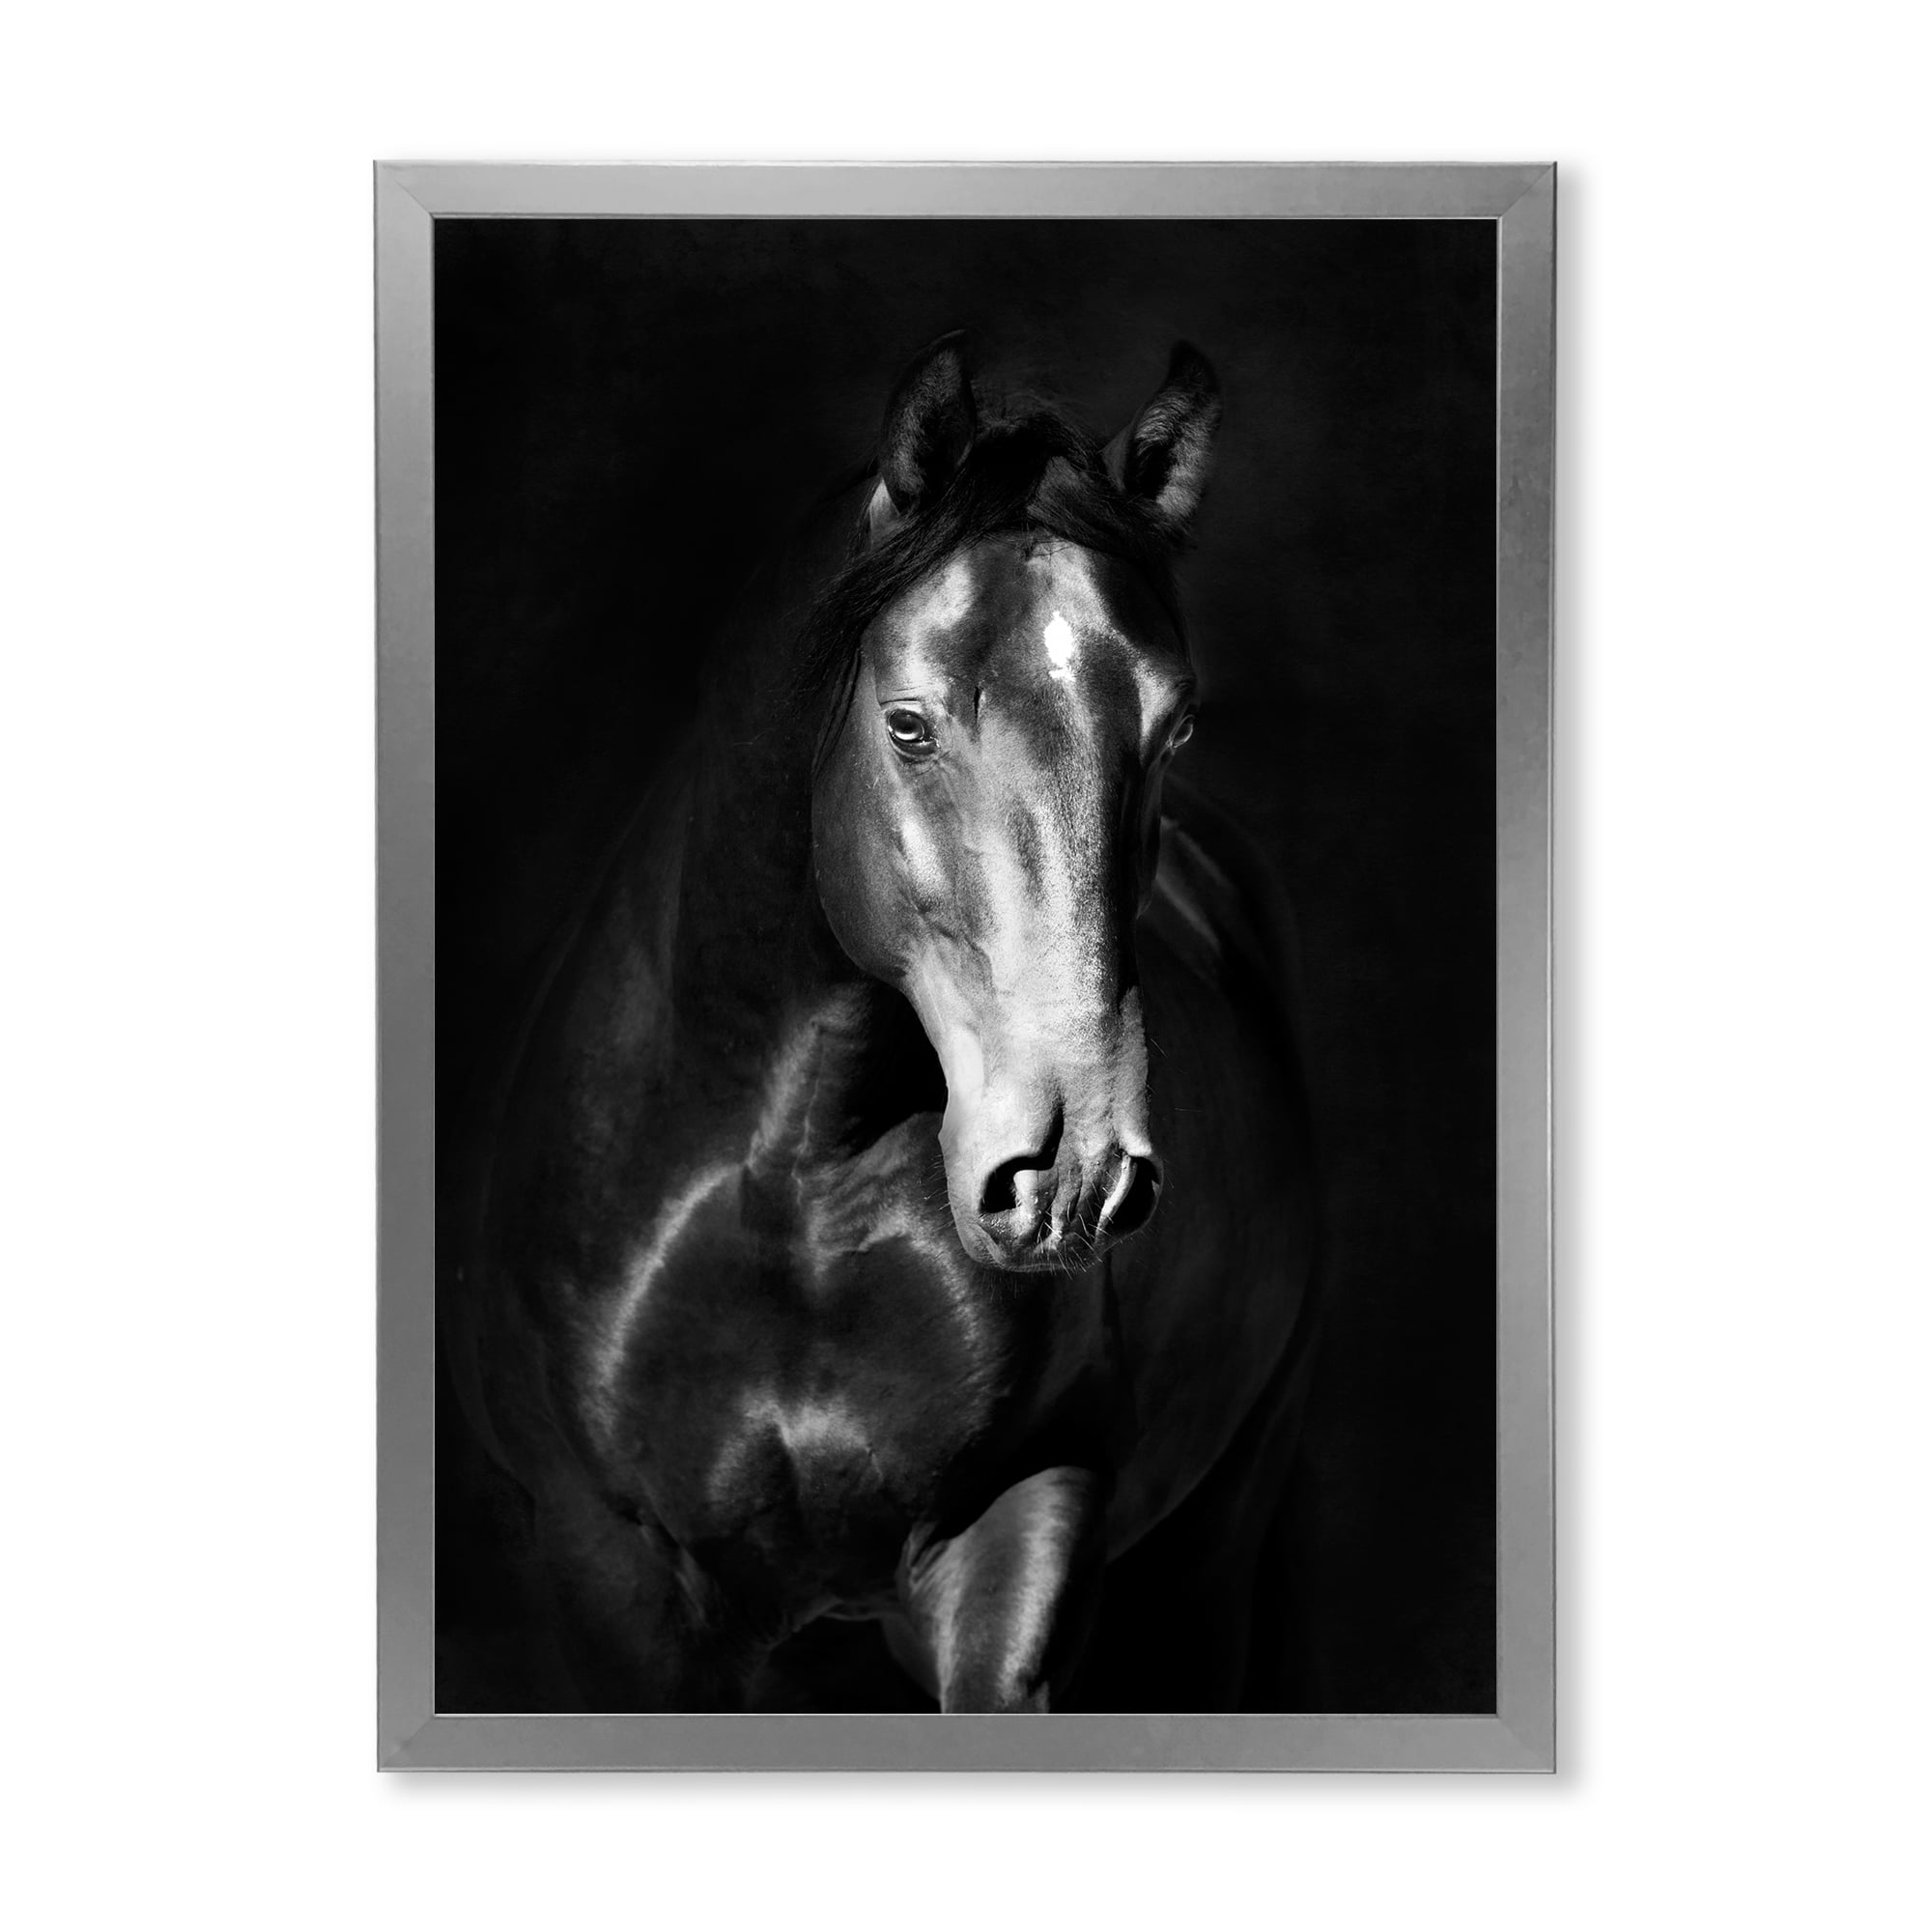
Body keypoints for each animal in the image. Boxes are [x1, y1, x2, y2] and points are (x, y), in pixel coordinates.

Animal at [441, 333, 1320, 1713]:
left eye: (1173, 725)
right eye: (907, 723)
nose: (1069, 1173)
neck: (790, 1182)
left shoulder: (1019, 1527)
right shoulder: (615, 1572)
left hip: (1209, 1552)